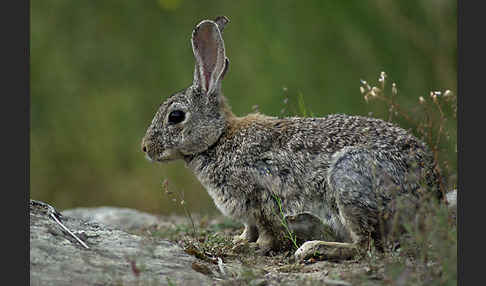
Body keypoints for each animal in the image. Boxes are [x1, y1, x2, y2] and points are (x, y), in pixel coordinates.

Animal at [140, 16, 440, 260]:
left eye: (175, 116)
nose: (145, 148)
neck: (218, 139)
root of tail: (429, 196)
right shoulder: (249, 213)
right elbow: (248, 229)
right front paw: (238, 241)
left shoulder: (261, 198)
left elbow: (266, 233)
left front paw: (253, 249)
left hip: (348, 181)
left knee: (366, 246)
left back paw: (314, 248)